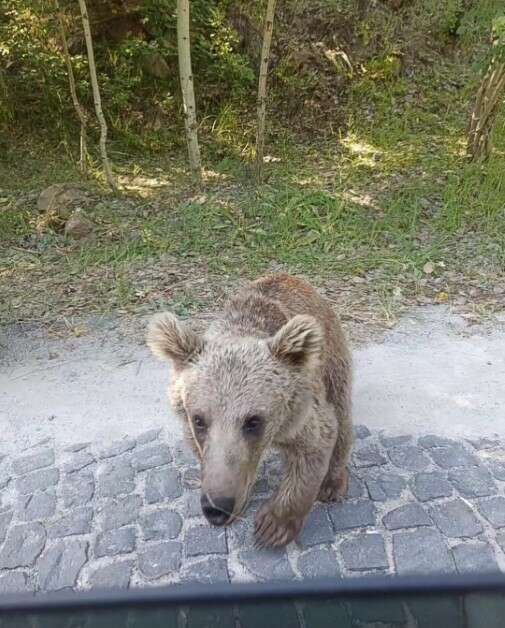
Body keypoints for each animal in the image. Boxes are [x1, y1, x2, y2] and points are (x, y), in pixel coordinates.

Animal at [146, 272, 350, 548]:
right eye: (199, 420)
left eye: (253, 420)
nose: (216, 509)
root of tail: (291, 277)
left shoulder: (300, 414)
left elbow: (315, 446)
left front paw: (272, 526)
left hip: (331, 357)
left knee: (342, 411)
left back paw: (332, 483)